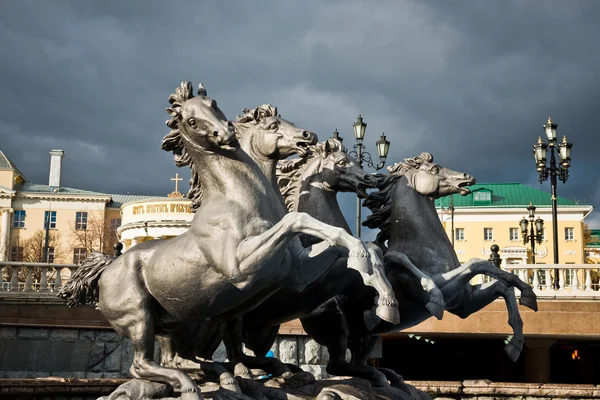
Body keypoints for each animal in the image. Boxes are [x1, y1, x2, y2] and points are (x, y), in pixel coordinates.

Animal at [59, 82, 398, 400]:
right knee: (146, 364)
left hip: (180, 322)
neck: (238, 200)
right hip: (142, 318)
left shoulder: (297, 271)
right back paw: (201, 385)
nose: (307, 136)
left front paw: (385, 298)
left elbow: (354, 243)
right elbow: (299, 221)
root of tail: (107, 267)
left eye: (214, 104)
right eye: (191, 120)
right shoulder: (242, 270)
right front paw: (370, 274)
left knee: (182, 360)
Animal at [300, 152, 540, 388]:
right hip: (337, 326)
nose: (467, 177)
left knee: (357, 361)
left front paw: (520, 327)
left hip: (371, 335)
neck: (425, 247)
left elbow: (502, 285)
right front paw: (435, 300)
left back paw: (387, 375)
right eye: (435, 169)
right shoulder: (441, 288)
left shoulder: (464, 304)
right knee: (336, 365)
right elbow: (475, 263)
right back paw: (378, 374)